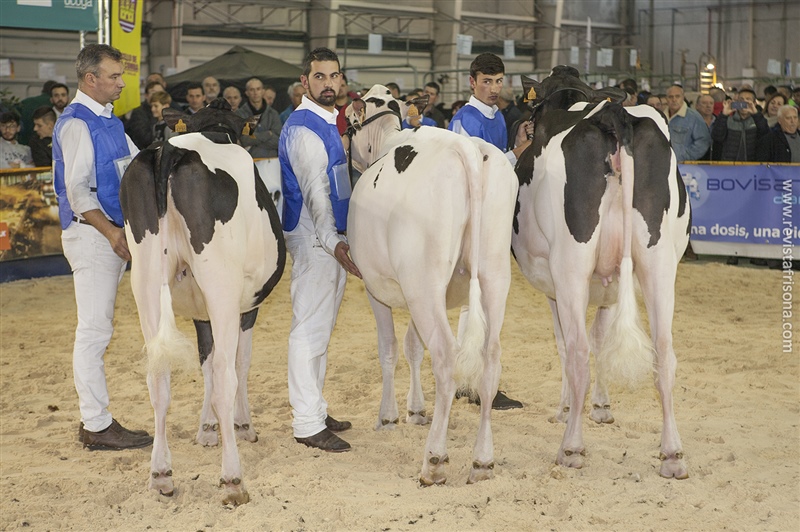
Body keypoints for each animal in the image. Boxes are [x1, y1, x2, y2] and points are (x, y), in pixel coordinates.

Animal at [117, 101, 282, 508]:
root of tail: (170, 150)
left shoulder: (199, 312)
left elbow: (205, 360)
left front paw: (207, 429)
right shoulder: (245, 306)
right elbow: (237, 361)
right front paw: (241, 425)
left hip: (145, 279)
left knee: (157, 376)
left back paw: (161, 474)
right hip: (220, 281)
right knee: (226, 375)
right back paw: (233, 480)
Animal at [344, 84, 520, 486]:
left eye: (349, 119)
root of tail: (466, 149)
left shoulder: (377, 287)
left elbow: (391, 349)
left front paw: (389, 416)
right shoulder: (419, 293)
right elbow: (413, 347)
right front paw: (415, 410)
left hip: (424, 283)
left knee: (444, 355)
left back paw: (434, 460)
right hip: (492, 274)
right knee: (491, 358)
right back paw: (482, 461)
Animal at [516, 65, 692, 478]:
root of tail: (614, 116)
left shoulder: (556, 287)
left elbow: (568, 343)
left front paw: (568, 409)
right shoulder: (610, 285)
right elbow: (603, 338)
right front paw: (601, 406)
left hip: (572, 264)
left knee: (577, 352)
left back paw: (571, 447)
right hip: (659, 264)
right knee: (664, 351)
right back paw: (673, 454)